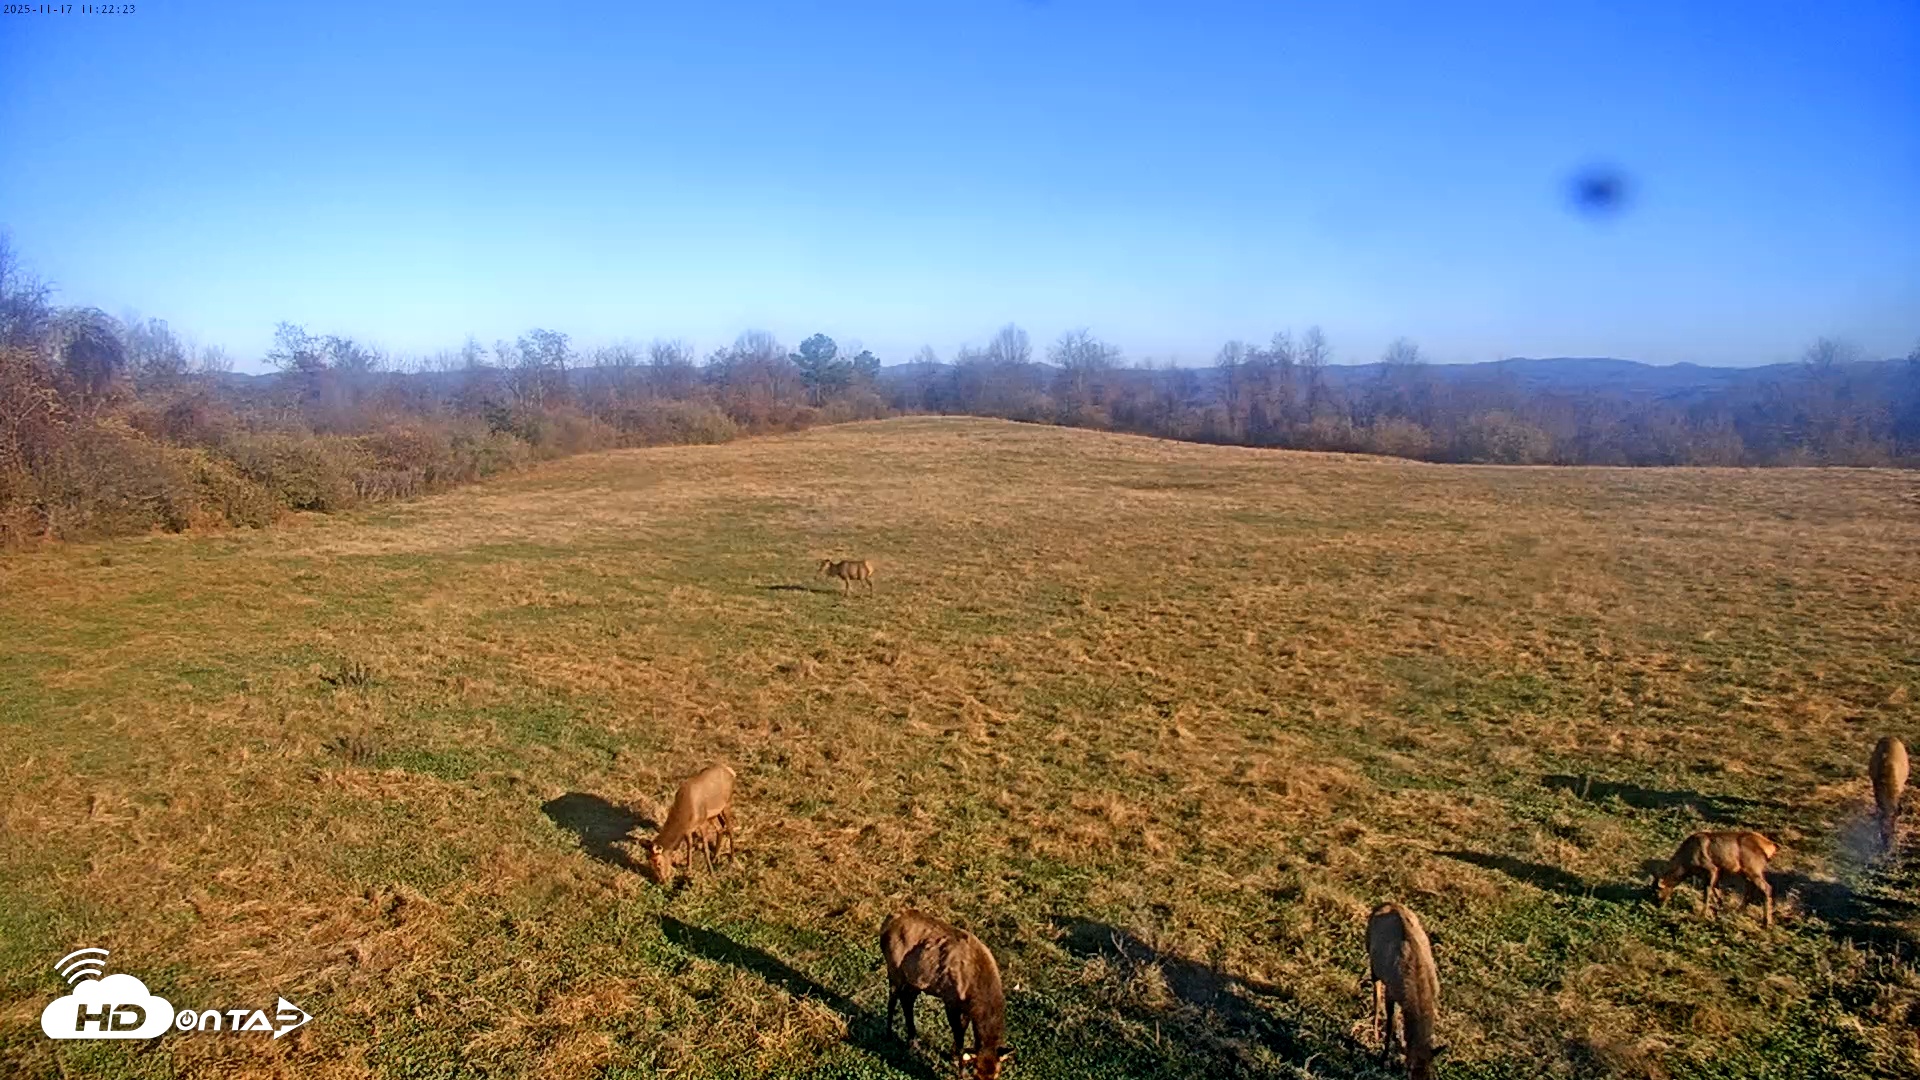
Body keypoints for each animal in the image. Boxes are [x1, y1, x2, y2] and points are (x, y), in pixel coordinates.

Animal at [881, 909, 1015, 1080]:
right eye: (976, 1074)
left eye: (997, 1074)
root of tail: (887, 921)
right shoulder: (950, 1000)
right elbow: (959, 1036)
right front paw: (960, 1069)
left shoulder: (966, 1008)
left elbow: (962, 1031)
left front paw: (953, 1056)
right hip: (894, 968)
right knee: (892, 999)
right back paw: (889, 1034)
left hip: (915, 979)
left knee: (907, 1000)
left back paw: (913, 1041)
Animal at [1366, 902, 1444, 1080]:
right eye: (1409, 1073)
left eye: (1431, 1076)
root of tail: (1386, 903)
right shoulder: (1391, 992)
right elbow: (1390, 1025)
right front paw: (1383, 1058)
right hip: (1372, 961)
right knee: (1376, 994)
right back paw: (1375, 1030)